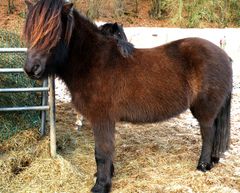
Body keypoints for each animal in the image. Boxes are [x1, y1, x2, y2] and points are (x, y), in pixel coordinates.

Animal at [23, 0, 232, 192]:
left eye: (54, 33)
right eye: (30, 31)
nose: (32, 69)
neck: (93, 62)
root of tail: (223, 55)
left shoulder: (102, 119)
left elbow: (102, 152)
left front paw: (101, 185)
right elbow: (107, 150)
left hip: (205, 110)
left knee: (208, 133)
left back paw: (203, 165)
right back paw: (213, 160)